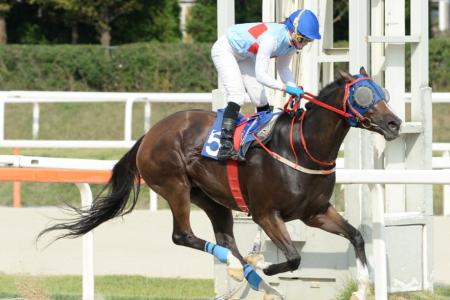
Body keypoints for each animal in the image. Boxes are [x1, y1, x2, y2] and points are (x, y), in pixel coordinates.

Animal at [39, 68, 400, 300]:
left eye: (384, 91)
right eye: (364, 95)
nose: (395, 123)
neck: (302, 146)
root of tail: (149, 135)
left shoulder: (316, 212)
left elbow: (356, 236)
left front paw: (362, 287)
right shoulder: (266, 213)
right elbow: (294, 258)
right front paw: (265, 265)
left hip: (212, 199)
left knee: (226, 239)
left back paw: (251, 276)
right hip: (175, 186)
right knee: (183, 235)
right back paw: (247, 270)